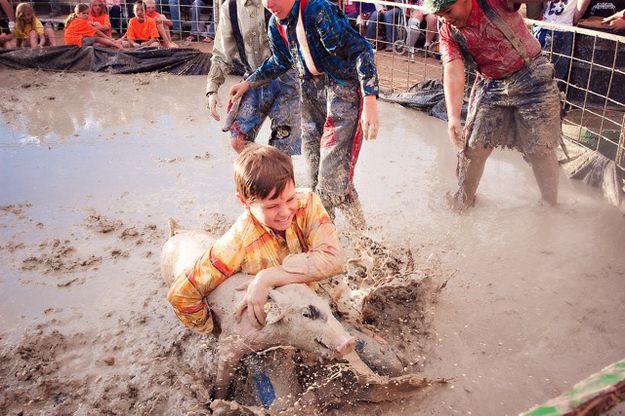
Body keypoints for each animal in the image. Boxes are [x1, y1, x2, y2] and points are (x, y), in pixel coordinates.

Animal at [161, 221, 356, 400]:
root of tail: (176, 232)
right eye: (306, 314)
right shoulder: (230, 341)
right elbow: (223, 376)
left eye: (327, 306)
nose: (350, 342)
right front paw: (218, 400)